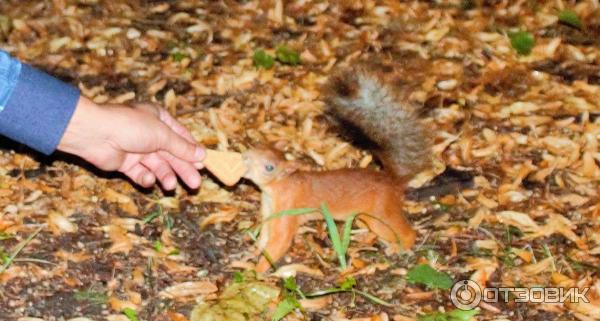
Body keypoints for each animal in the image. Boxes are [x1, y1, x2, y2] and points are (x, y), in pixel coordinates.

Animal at [243, 65, 432, 272]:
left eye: (269, 167)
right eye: (256, 147)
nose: (245, 158)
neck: (277, 187)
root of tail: (393, 180)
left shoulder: (289, 208)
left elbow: (279, 241)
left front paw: (256, 271)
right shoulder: (269, 210)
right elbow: (264, 237)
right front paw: (252, 253)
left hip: (381, 213)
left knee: (406, 232)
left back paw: (400, 247)